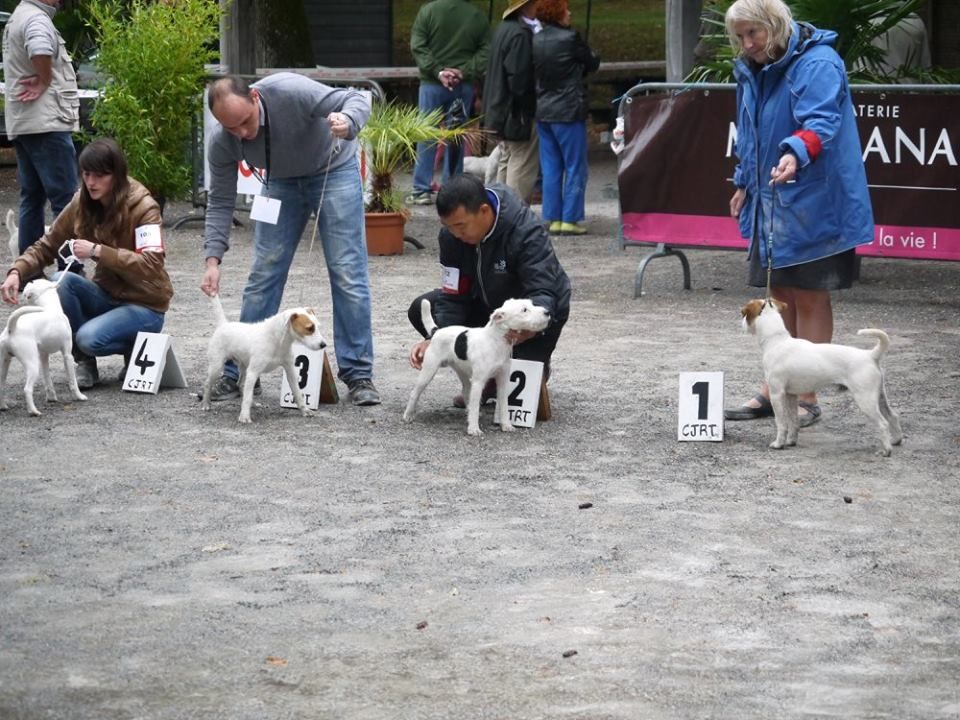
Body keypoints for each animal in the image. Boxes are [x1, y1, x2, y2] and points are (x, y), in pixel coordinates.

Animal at [0, 280, 87, 420]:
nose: (21, 296)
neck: (50, 307)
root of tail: (12, 327)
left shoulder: (44, 356)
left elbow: (47, 379)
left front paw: (51, 397)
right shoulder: (67, 355)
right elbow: (73, 381)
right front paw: (79, 396)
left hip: (4, 364)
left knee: (1, 386)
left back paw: (3, 406)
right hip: (32, 365)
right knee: (27, 389)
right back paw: (33, 411)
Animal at [199, 296, 326, 424]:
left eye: (317, 326)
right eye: (310, 328)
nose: (323, 345)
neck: (276, 340)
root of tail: (224, 324)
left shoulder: (290, 371)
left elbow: (298, 392)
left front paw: (305, 410)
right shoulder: (253, 372)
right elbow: (247, 397)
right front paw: (244, 416)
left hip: (244, 368)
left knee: (241, 386)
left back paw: (253, 404)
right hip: (217, 367)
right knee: (208, 384)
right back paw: (206, 404)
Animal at [404, 296, 552, 436]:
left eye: (531, 304)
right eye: (524, 310)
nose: (547, 312)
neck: (495, 341)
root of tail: (437, 331)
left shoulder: (502, 380)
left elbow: (504, 405)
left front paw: (506, 425)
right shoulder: (479, 382)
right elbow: (476, 406)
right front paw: (474, 429)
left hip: (464, 374)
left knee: (465, 393)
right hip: (429, 371)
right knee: (414, 393)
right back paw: (408, 415)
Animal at [740, 298, 904, 456]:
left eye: (744, 314)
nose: (740, 322)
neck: (777, 341)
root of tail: (870, 355)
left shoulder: (776, 394)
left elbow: (781, 422)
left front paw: (778, 444)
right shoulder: (791, 396)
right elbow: (793, 421)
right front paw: (791, 441)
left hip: (865, 400)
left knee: (883, 423)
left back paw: (886, 450)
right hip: (879, 397)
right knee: (893, 416)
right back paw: (895, 440)